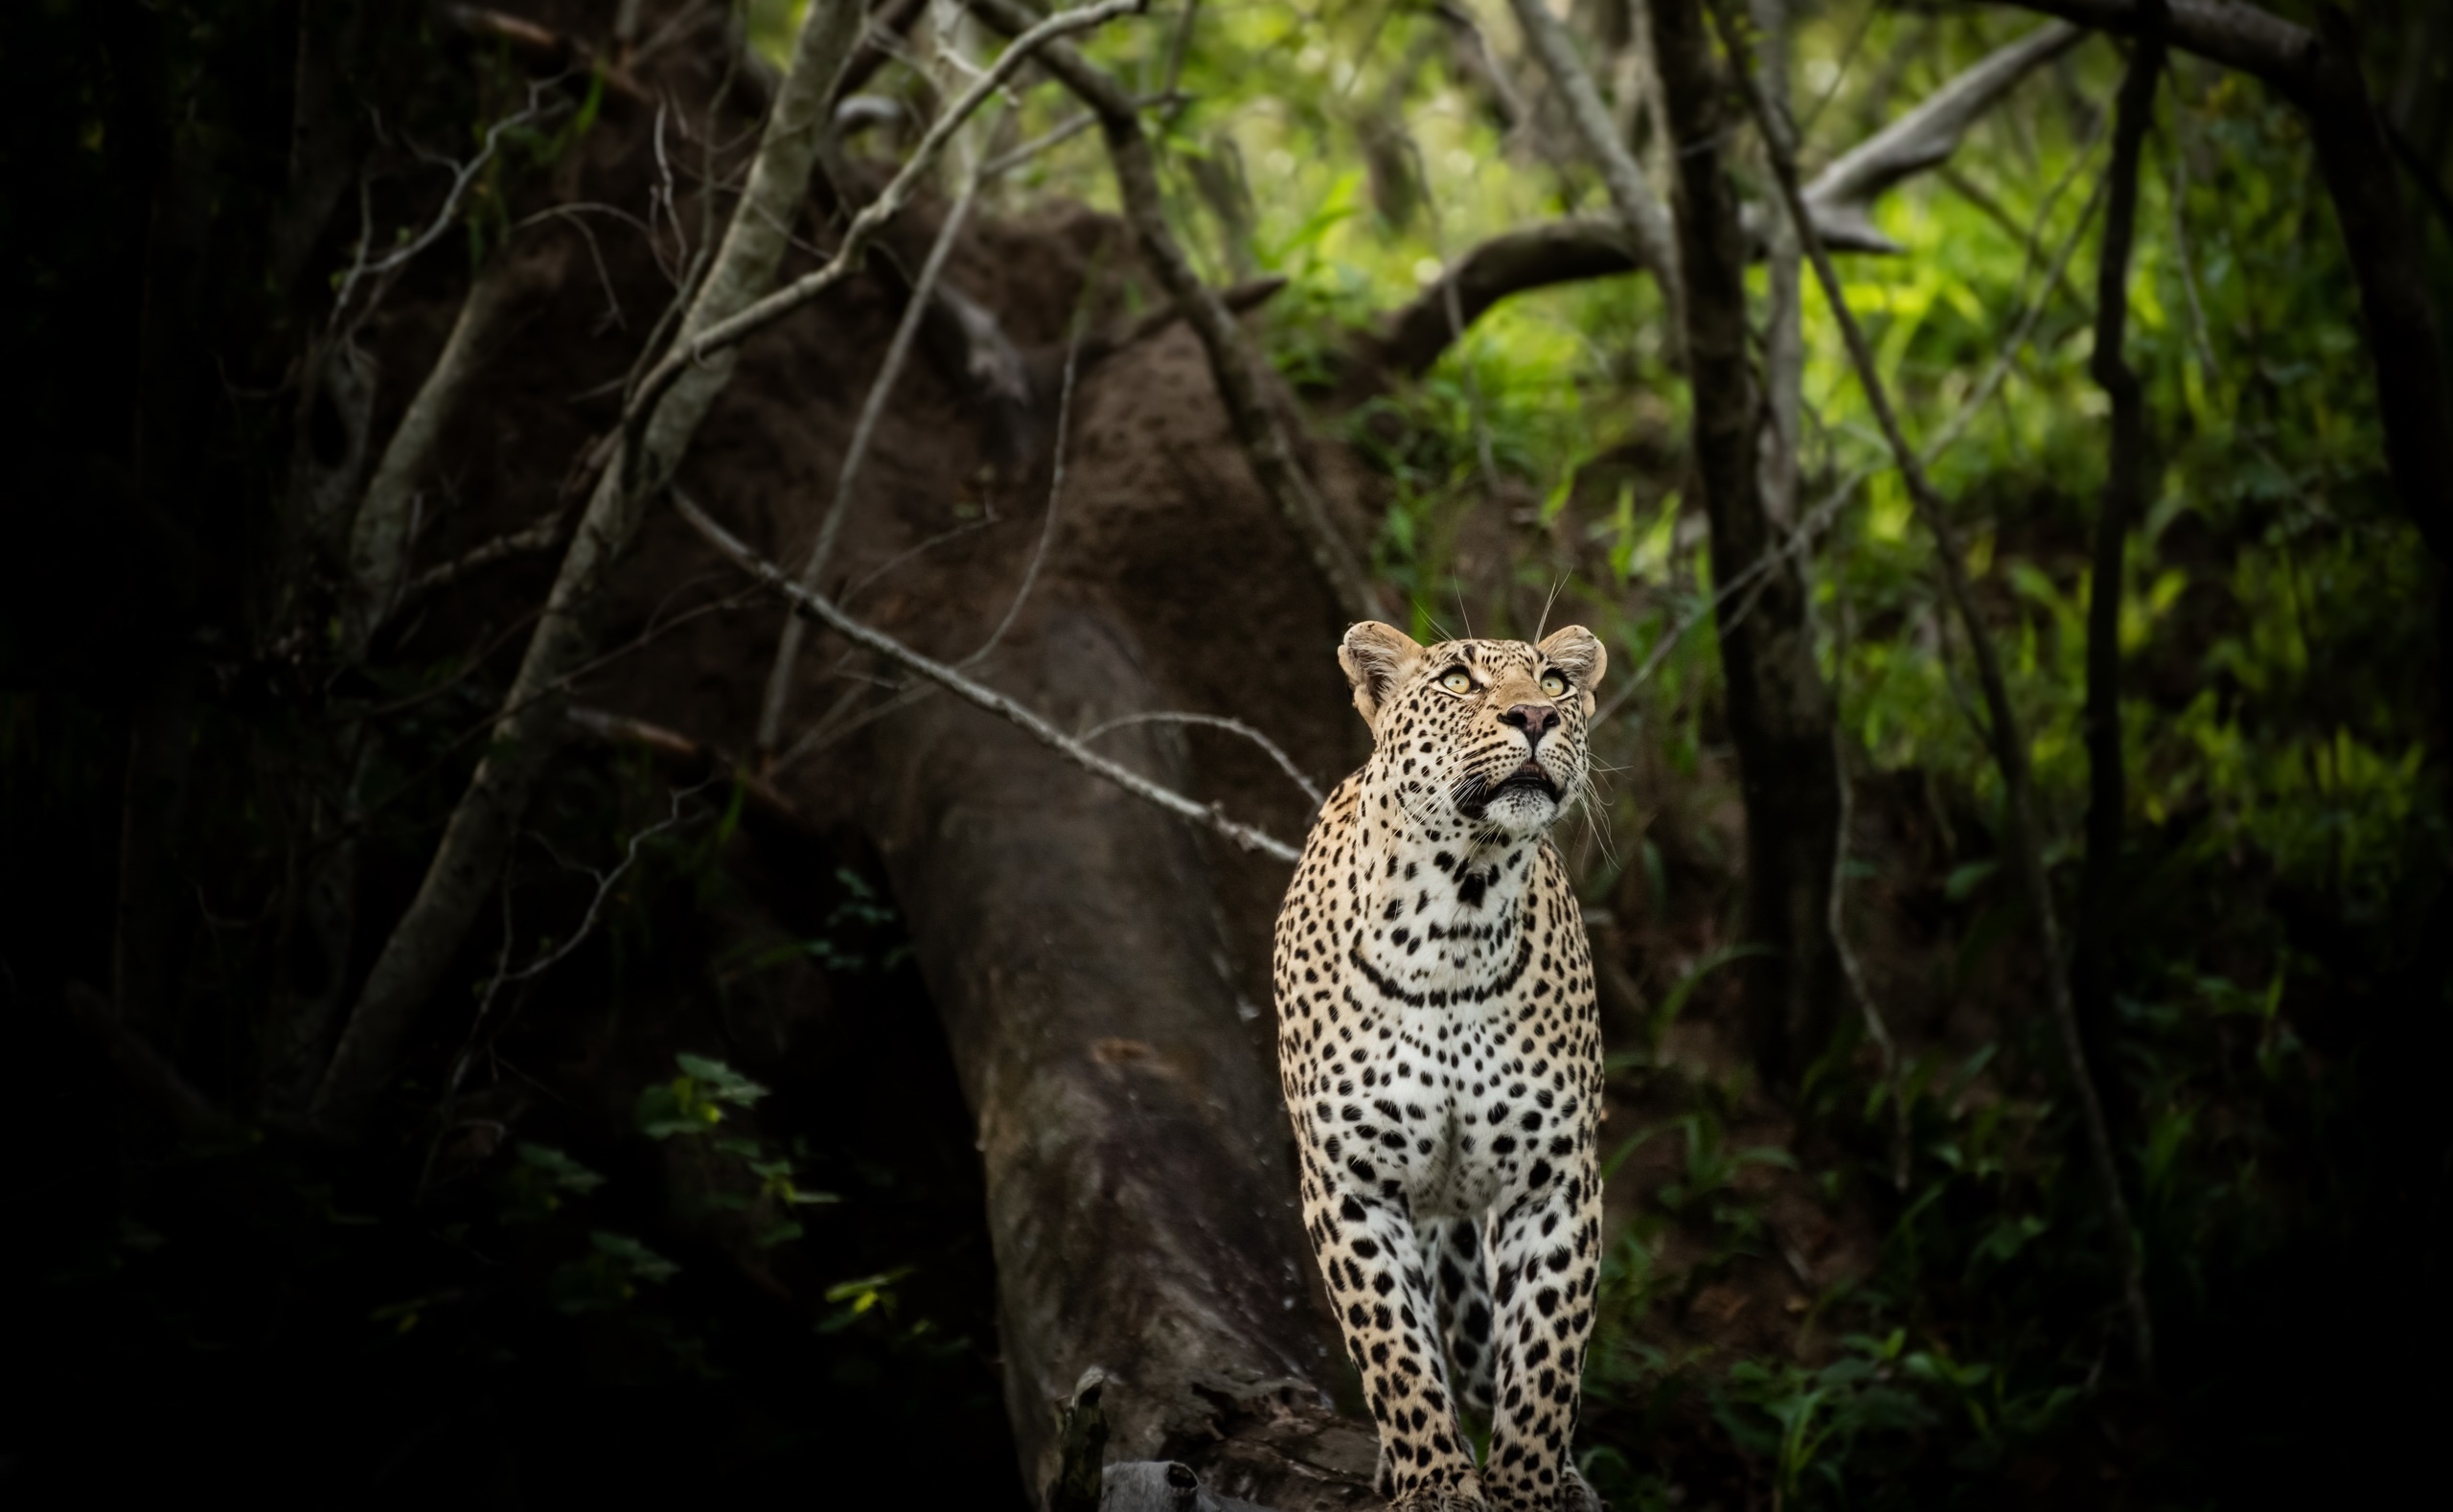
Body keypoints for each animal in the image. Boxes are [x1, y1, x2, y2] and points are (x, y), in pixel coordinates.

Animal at [1275, 615, 1618, 1512]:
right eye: (1458, 681)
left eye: (1555, 682)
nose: (1535, 716)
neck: (1458, 916)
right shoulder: (1353, 1184)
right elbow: (1396, 1354)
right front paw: (1434, 1482)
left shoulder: (1551, 1181)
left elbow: (1544, 1362)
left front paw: (1528, 1487)